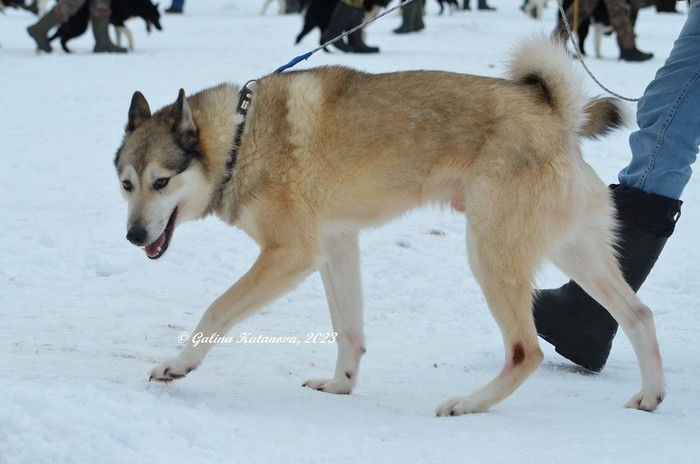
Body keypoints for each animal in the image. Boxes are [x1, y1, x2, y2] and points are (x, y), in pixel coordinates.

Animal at [114, 38, 665, 415]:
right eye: (126, 184)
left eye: (160, 182)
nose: (133, 237)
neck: (239, 140)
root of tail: (554, 116)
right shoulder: (335, 247)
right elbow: (348, 330)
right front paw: (342, 384)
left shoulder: (290, 254)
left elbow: (216, 310)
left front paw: (178, 365)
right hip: (573, 253)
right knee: (638, 315)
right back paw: (651, 395)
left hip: (490, 254)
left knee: (524, 352)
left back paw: (469, 404)